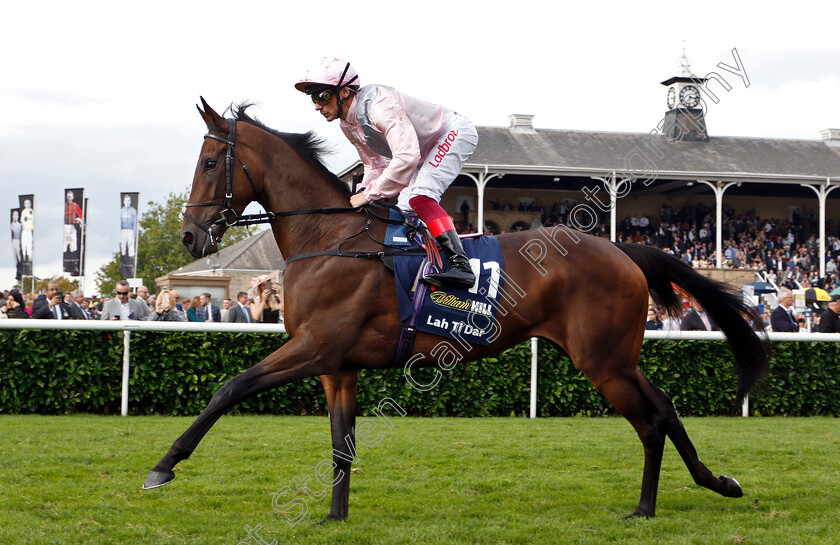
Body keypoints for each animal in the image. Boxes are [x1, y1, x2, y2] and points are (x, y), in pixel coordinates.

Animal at [144, 98, 768, 520]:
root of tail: (619, 247)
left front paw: (163, 466)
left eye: (208, 163)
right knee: (664, 407)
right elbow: (341, 445)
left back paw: (646, 507)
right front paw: (334, 515)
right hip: (616, 356)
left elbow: (229, 387)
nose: (190, 236)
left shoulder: (313, 347)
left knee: (652, 418)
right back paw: (716, 482)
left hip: (603, 360)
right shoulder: (337, 366)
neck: (331, 237)